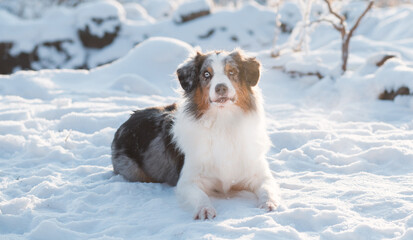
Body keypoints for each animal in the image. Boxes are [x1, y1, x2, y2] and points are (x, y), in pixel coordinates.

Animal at [110, 49, 276, 220]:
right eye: (206, 74)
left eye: (232, 72)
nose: (221, 88)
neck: (222, 122)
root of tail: (130, 118)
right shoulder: (188, 181)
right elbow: (200, 195)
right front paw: (205, 209)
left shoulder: (259, 174)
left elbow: (268, 188)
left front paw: (269, 204)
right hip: (133, 171)